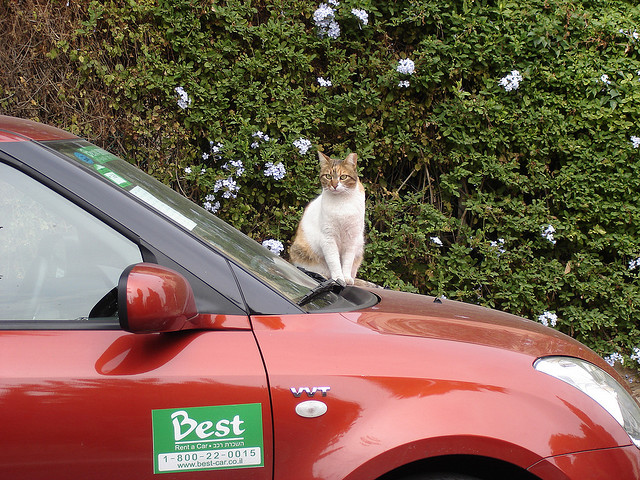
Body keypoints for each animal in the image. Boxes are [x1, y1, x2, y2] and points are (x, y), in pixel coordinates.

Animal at [289, 152, 365, 285]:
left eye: (343, 177)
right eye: (328, 176)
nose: (334, 185)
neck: (341, 202)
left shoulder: (352, 239)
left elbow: (347, 262)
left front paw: (346, 277)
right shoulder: (328, 237)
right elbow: (333, 261)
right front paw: (338, 278)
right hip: (300, 251)